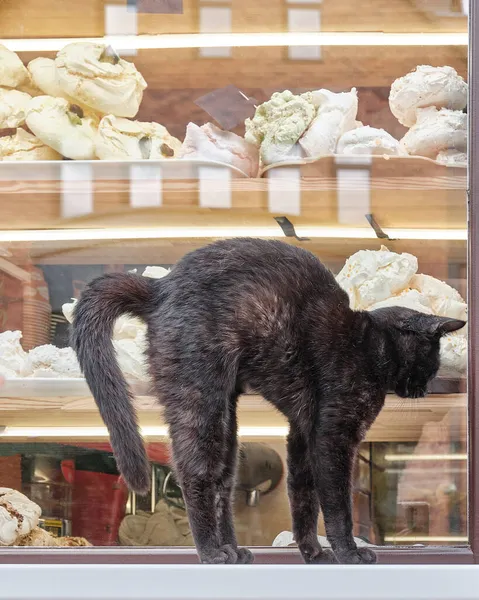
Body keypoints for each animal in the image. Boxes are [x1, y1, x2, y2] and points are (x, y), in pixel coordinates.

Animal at [71, 238, 464, 564]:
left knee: (223, 482)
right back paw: (211, 553)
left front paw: (313, 553)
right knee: (194, 472)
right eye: (430, 361)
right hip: (201, 400)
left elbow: (303, 497)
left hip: (228, 421)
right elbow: (337, 501)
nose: (424, 388)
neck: (368, 346)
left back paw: (233, 550)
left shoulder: (303, 434)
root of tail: (161, 287)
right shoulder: (333, 437)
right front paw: (349, 553)